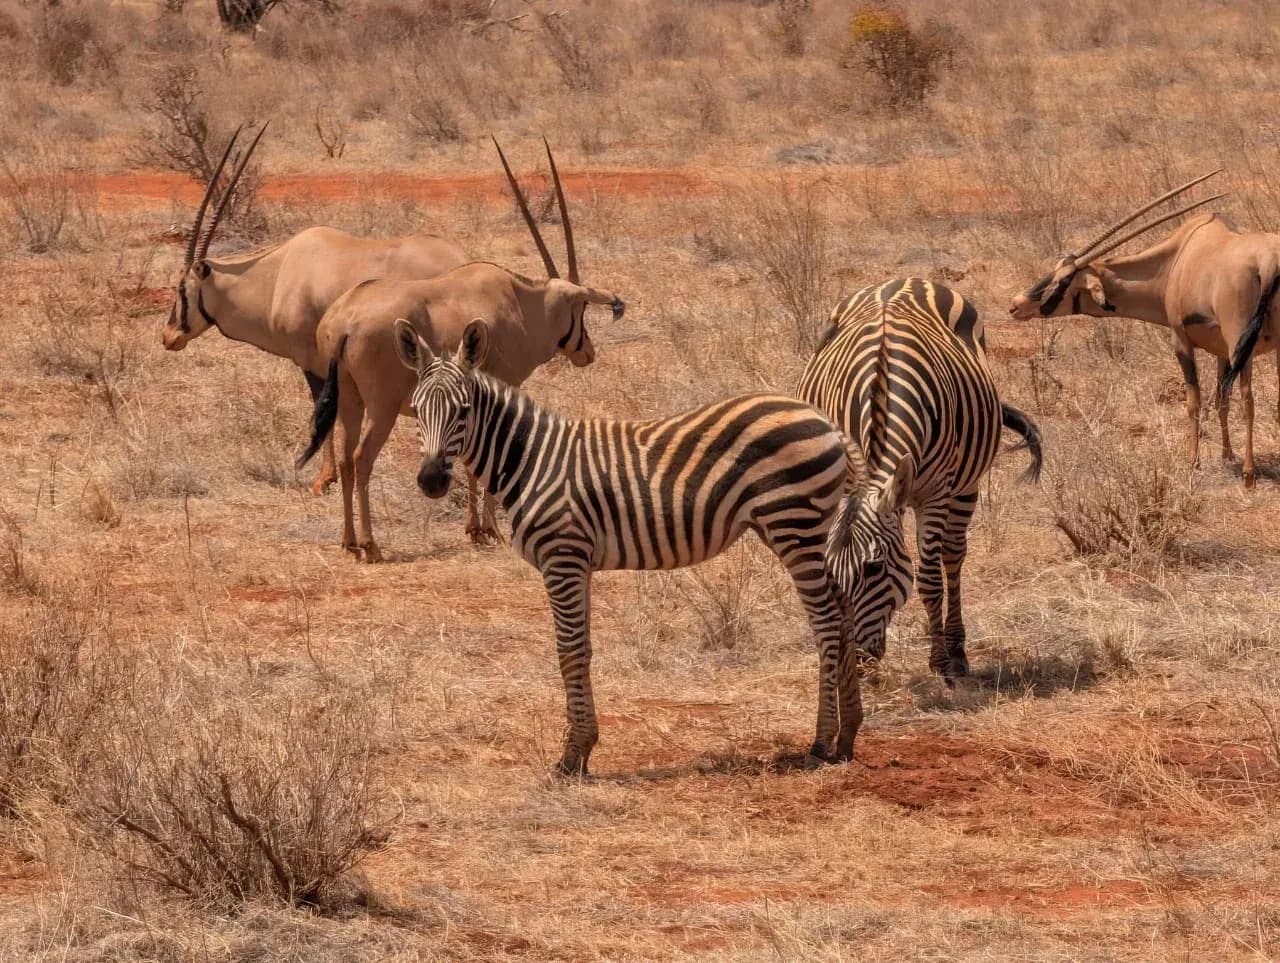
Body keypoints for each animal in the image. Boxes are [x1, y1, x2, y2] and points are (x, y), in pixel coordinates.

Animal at [388, 317, 865, 776]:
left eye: (464, 411)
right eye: (416, 409)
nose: (431, 481)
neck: (531, 460)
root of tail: (828, 423)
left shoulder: (563, 556)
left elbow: (569, 650)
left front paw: (573, 756)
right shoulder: (574, 561)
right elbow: (579, 648)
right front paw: (580, 748)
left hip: (793, 525)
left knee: (826, 620)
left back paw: (821, 742)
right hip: (795, 529)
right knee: (843, 610)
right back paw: (847, 736)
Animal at [798, 278, 1043, 683]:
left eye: (874, 567)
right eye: (831, 571)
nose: (854, 663)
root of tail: (904, 280)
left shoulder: (936, 492)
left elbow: (929, 579)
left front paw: (941, 662)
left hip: (965, 484)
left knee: (952, 555)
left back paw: (956, 649)